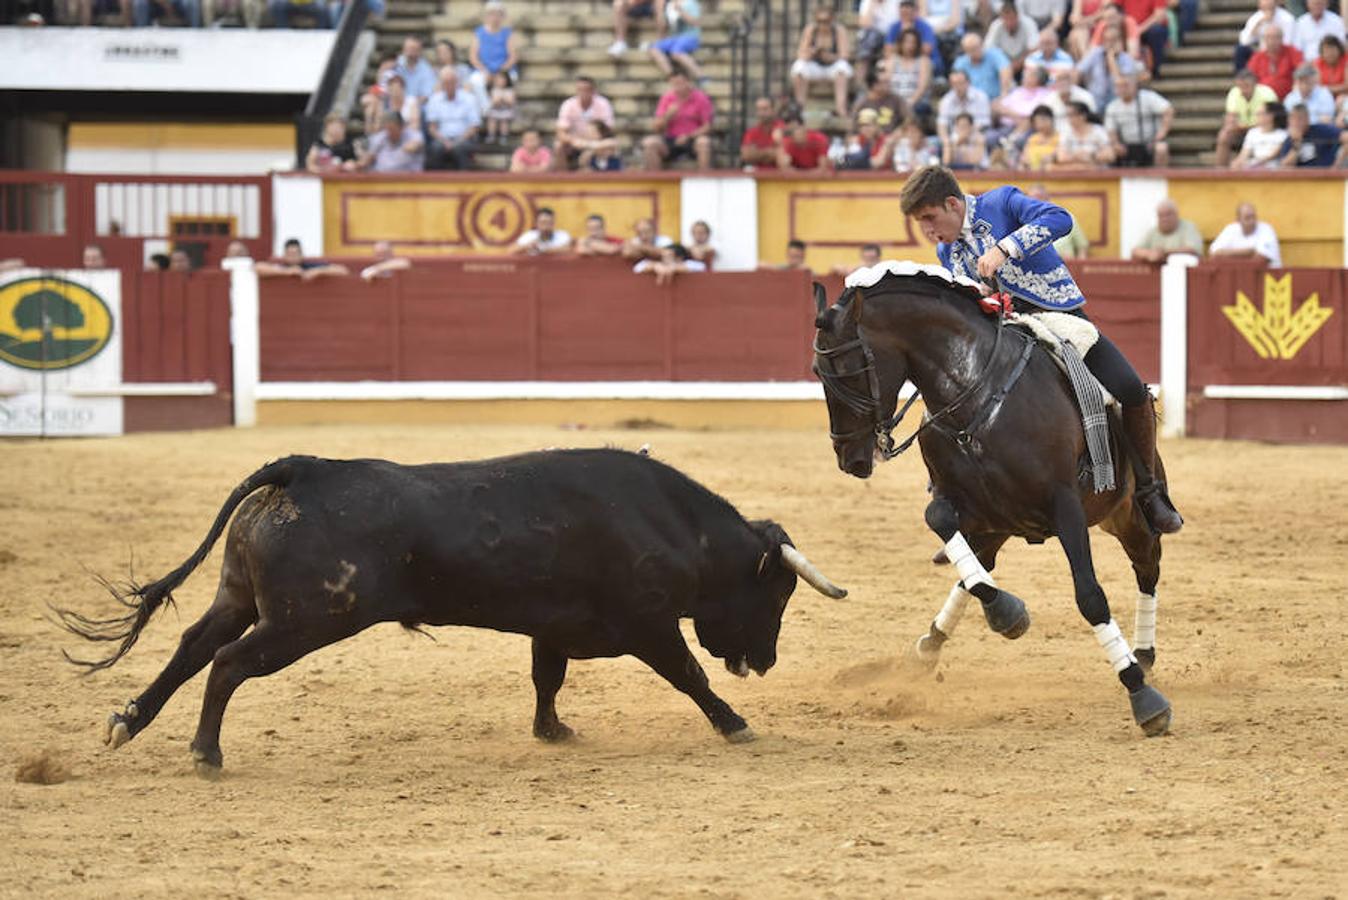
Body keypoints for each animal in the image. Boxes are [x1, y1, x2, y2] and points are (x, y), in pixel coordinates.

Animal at [60, 450, 851, 776]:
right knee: (226, 664)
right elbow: (689, 675)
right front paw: (736, 724)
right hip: (302, 622)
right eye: (776, 594)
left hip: (240, 597)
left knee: (193, 647)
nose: (764, 661)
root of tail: (301, 470)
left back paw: (127, 721)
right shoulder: (648, 626)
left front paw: (552, 732)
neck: (669, 521)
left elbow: (546, 678)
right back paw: (206, 753)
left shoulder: (552, 626)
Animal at [803, 261, 1175, 738]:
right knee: (978, 568)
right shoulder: (962, 503)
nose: (849, 458)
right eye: (817, 370)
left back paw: (1142, 656)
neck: (976, 395)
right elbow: (939, 520)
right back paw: (933, 645)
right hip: (1001, 526)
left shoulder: (1065, 506)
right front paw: (1007, 613)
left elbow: (1090, 595)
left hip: (1127, 512)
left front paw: (1141, 695)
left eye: (848, 369)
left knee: (1148, 563)